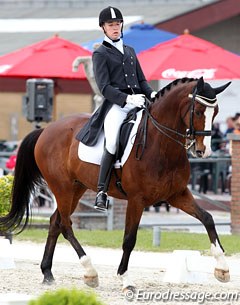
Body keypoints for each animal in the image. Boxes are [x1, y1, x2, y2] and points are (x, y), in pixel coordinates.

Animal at [0, 76, 232, 290]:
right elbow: (129, 239)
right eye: (199, 111)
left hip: (76, 188)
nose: (204, 151)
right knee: (65, 224)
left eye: (216, 112)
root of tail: (46, 130)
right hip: (62, 187)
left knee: (55, 222)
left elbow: (208, 218)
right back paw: (90, 272)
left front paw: (222, 268)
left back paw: (47, 272)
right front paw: (125, 279)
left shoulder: (177, 194)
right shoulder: (137, 200)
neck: (161, 144)